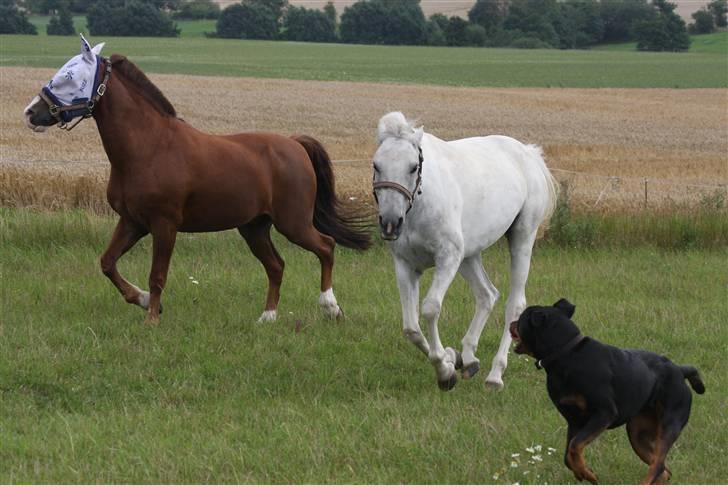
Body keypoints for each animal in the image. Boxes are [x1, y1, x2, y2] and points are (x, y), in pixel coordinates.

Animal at [22, 36, 370, 324]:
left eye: (68, 77)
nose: (30, 113)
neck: (149, 147)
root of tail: (295, 144)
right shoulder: (133, 221)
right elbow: (107, 262)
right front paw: (143, 301)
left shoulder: (164, 224)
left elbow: (157, 275)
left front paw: (152, 318)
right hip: (254, 227)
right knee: (276, 265)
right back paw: (267, 317)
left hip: (293, 223)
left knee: (325, 246)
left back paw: (331, 308)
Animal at [372, 112, 560, 390]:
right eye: (376, 165)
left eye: (413, 167)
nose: (390, 222)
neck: (421, 206)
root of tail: (528, 153)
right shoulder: (406, 265)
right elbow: (411, 328)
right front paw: (452, 360)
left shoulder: (447, 259)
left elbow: (430, 309)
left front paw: (444, 372)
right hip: (469, 256)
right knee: (487, 294)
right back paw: (469, 359)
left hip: (521, 239)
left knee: (514, 304)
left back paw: (495, 375)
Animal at [510, 296, 704, 482]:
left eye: (520, 320)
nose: (511, 322)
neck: (566, 354)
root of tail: (680, 370)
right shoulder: (574, 420)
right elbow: (568, 455)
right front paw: (583, 472)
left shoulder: (604, 413)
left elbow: (574, 446)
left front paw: (588, 474)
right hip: (637, 433)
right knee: (663, 470)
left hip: (669, 424)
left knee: (657, 466)